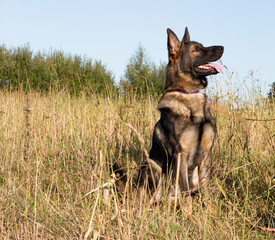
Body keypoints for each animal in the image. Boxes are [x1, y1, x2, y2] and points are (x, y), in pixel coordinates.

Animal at [114, 27, 224, 216]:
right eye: (196, 49)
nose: (223, 47)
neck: (189, 94)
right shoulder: (182, 154)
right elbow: (186, 192)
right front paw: (190, 217)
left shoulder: (206, 155)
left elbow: (206, 191)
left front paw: (211, 214)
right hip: (152, 166)